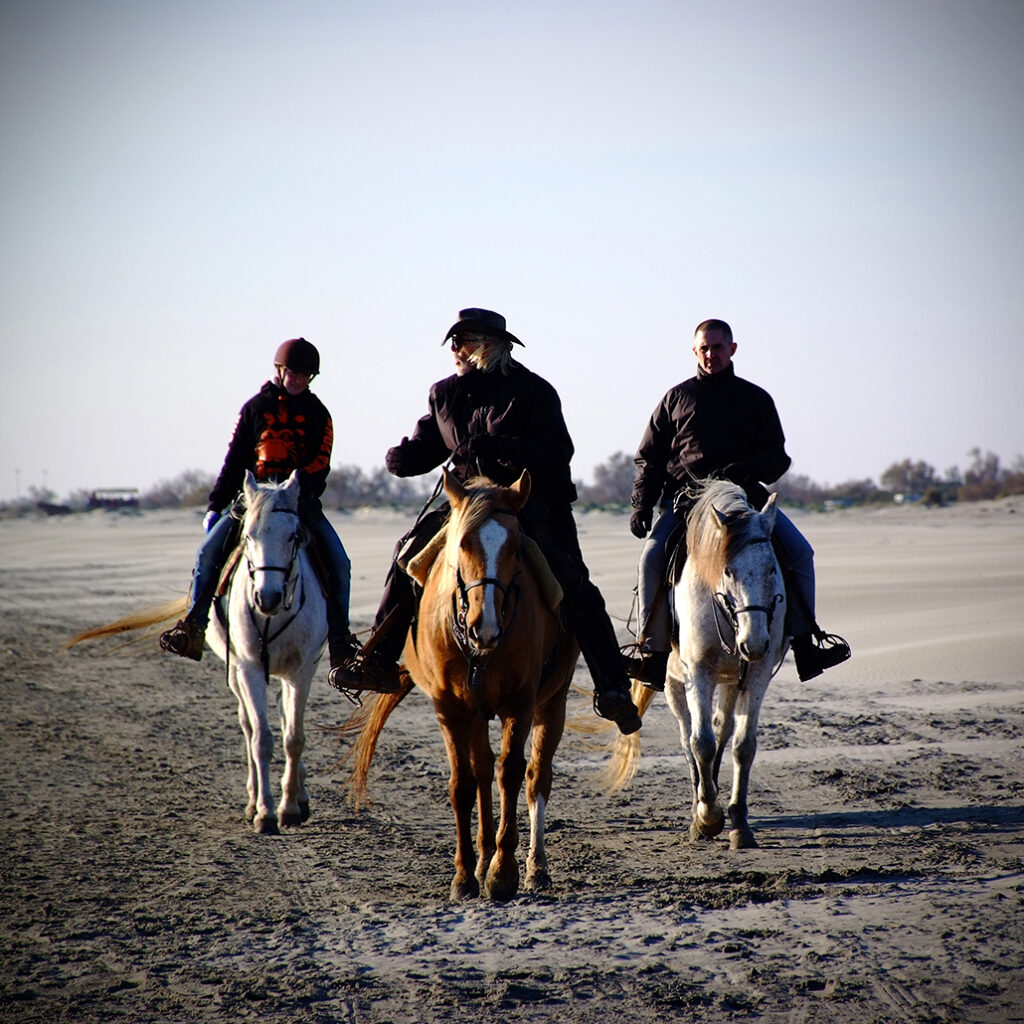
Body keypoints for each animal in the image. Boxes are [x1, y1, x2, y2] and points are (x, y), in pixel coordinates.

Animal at [70, 468, 325, 831]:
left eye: (293, 536)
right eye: (249, 536)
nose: (267, 597)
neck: (272, 616)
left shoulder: (300, 672)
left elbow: (294, 738)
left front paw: (289, 806)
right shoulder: (249, 668)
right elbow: (262, 740)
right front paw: (265, 813)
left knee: (282, 716)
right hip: (236, 673)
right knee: (249, 726)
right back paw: (252, 801)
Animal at [346, 468, 577, 901]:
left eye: (516, 548)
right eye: (463, 542)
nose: (484, 627)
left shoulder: (521, 703)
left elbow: (511, 772)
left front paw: (503, 873)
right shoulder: (450, 708)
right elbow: (463, 783)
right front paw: (467, 875)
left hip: (552, 703)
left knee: (537, 775)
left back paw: (535, 867)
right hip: (476, 712)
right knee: (482, 769)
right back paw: (484, 858)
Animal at [606, 477, 782, 847]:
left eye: (773, 568)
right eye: (727, 570)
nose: (754, 643)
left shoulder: (756, 674)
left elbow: (743, 745)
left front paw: (739, 823)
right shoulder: (697, 673)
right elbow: (700, 743)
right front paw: (708, 817)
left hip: (731, 680)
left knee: (722, 729)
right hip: (675, 684)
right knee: (689, 739)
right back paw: (699, 804)